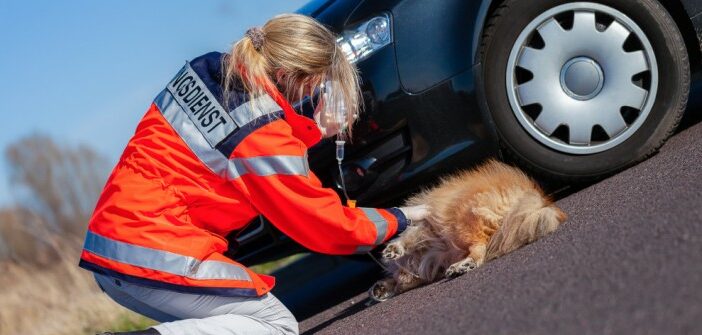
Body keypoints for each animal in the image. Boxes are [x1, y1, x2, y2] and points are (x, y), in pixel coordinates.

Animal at [372, 160, 568, 302]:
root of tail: (537, 198)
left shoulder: (427, 227)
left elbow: (409, 238)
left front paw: (394, 250)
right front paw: (383, 288)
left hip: (462, 222)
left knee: (479, 249)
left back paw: (463, 265)